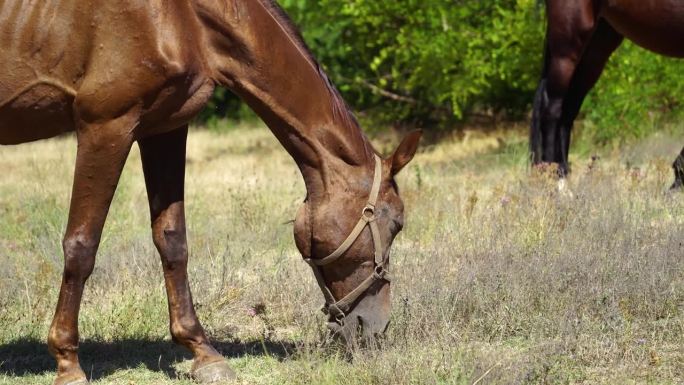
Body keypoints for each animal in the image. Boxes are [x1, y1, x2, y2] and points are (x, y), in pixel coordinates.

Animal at [0, 1, 420, 382]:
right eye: (396, 224)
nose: (375, 328)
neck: (182, 17)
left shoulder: (164, 127)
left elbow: (172, 241)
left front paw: (203, 353)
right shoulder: (105, 125)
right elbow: (81, 246)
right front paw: (68, 363)